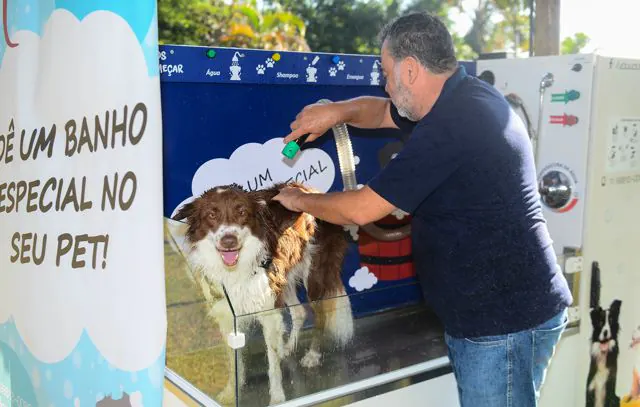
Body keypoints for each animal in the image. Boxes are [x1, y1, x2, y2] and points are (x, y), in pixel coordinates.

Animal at [171, 182, 356, 404]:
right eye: (211, 215)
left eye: (242, 212)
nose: (229, 241)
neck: (235, 269)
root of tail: (312, 190)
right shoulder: (228, 314)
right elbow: (234, 360)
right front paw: (232, 390)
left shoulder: (269, 313)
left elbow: (273, 366)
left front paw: (277, 397)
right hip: (284, 277)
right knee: (300, 312)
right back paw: (288, 347)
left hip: (315, 274)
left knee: (320, 316)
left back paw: (312, 355)